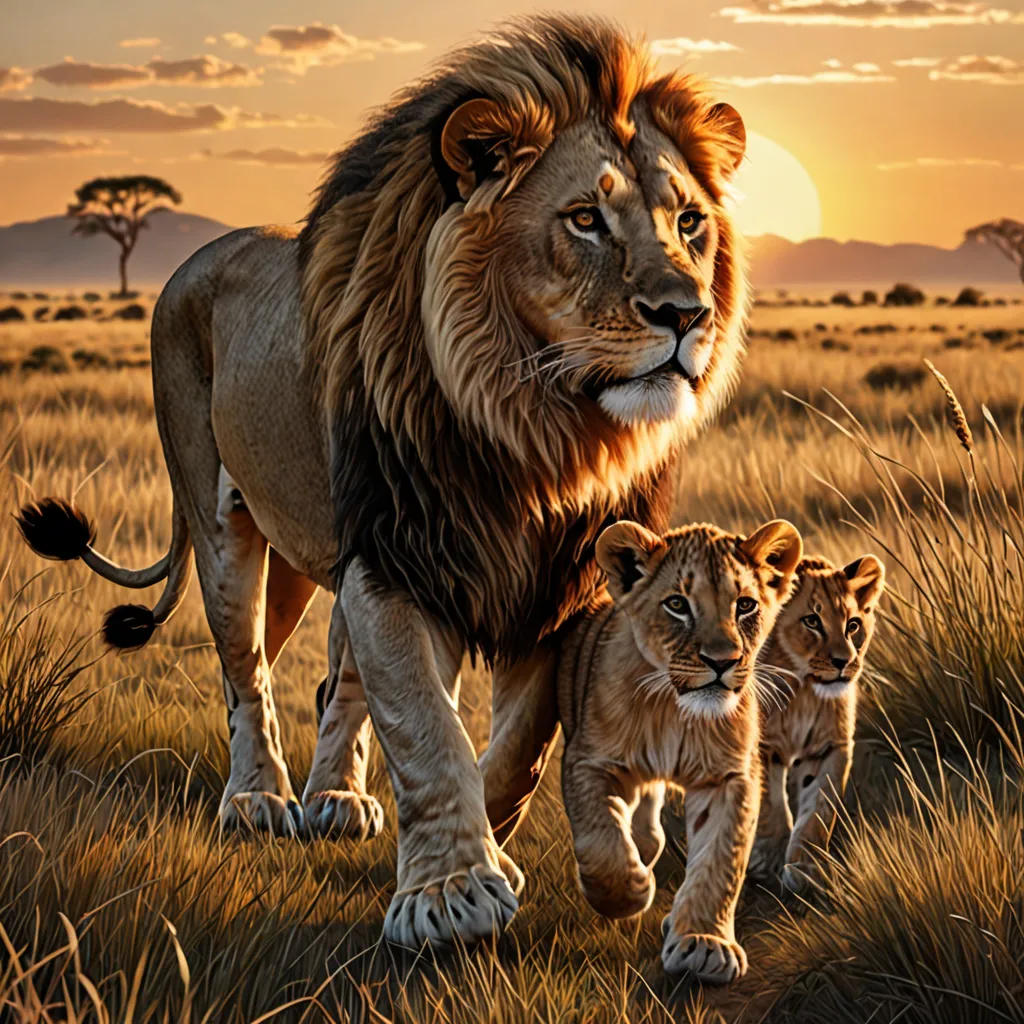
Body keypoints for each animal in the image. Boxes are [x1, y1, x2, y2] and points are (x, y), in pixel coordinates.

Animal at [16, 14, 749, 949]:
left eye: (690, 222)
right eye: (585, 218)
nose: (687, 314)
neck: (538, 433)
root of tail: (196, 259)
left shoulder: (560, 584)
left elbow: (516, 742)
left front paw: (497, 852)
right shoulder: (398, 553)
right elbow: (426, 725)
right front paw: (450, 893)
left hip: (312, 554)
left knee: (331, 679)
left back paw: (335, 798)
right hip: (224, 526)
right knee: (246, 669)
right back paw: (258, 801)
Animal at [558, 518, 802, 982]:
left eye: (745, 606)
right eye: (677, 604)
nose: (722, 661)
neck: (676, 712)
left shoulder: (729, 777)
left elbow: (720, 861)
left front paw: (703, 942)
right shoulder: (589, 761)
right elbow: (600, 841)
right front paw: (630, 892)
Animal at [749, 554, 885, 893]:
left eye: (853, 625)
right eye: (812, 621)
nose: (843, 662)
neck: (805, 692)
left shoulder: (829, 747)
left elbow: (818, 809)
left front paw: (804, 868)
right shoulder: (760, 747)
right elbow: (769, 805)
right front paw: (767, 859)